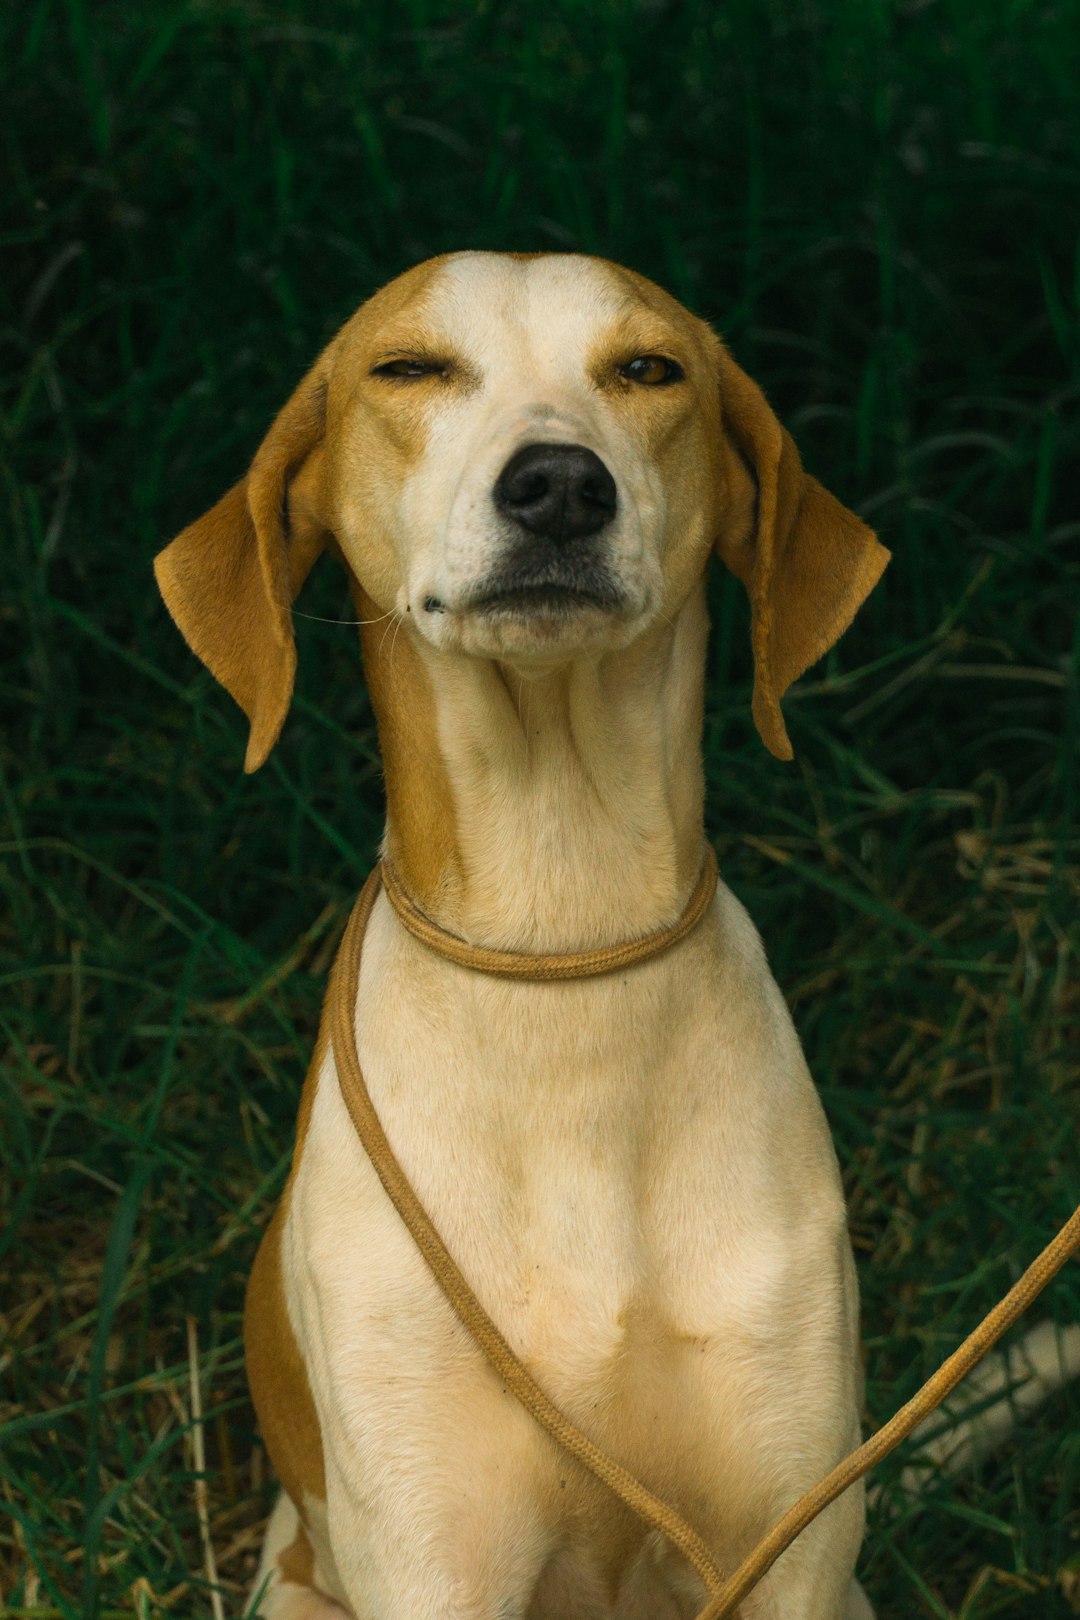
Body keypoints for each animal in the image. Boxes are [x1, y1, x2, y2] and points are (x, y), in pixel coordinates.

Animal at [152, 246, 971, 1613]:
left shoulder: (786, 1538)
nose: (557, 485)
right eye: (408, 367)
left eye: (650, 368)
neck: (560, 946)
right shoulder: (436, 1552)